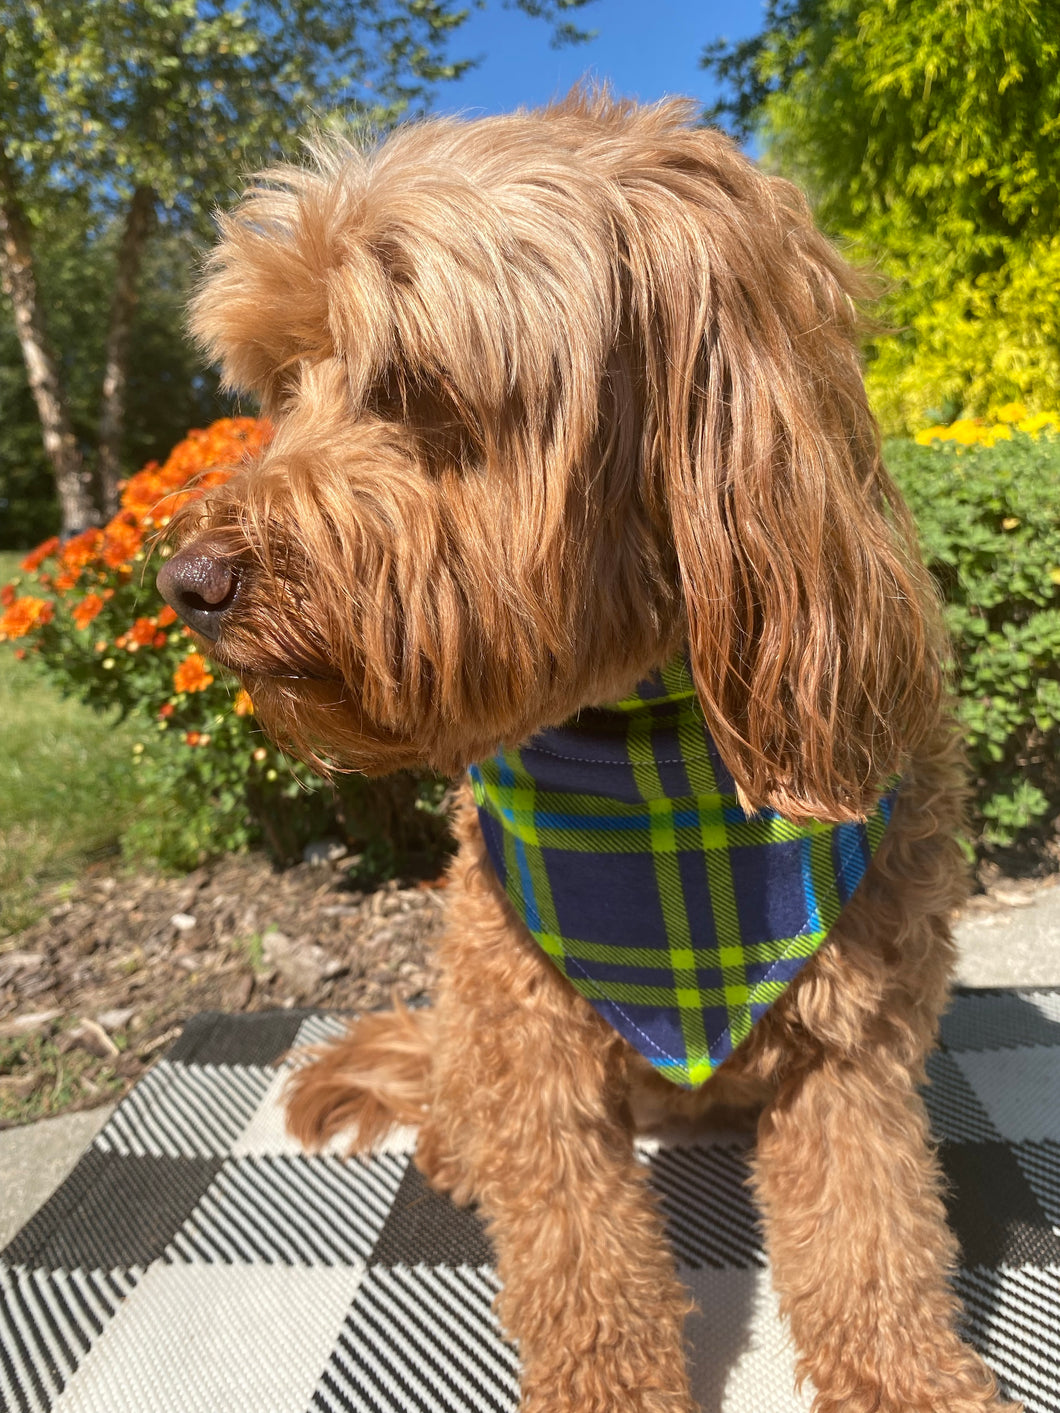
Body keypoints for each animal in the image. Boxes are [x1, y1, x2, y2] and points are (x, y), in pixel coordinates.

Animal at [159, 91, 1023, 1413]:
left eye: (413, 384)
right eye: (285, 382)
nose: (186, 583)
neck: (646, 749)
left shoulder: (855, 1044)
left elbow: (873, 1233)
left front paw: (907, 1379)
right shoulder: (529, 1039)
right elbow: (583, 1262)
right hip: (469, 1002)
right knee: (466, 1110)